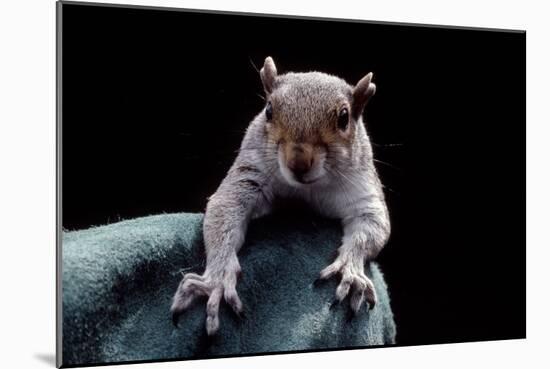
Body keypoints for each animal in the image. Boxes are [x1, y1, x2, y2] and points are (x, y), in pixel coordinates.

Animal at [172, 56, 392, 334]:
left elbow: (372, 227)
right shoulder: (249, 176)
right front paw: (217, 280)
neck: (306, 189)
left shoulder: (362, 190)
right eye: (268, 110)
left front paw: (350, 269)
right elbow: (225, 208)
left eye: (344, 118)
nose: (298, 162)